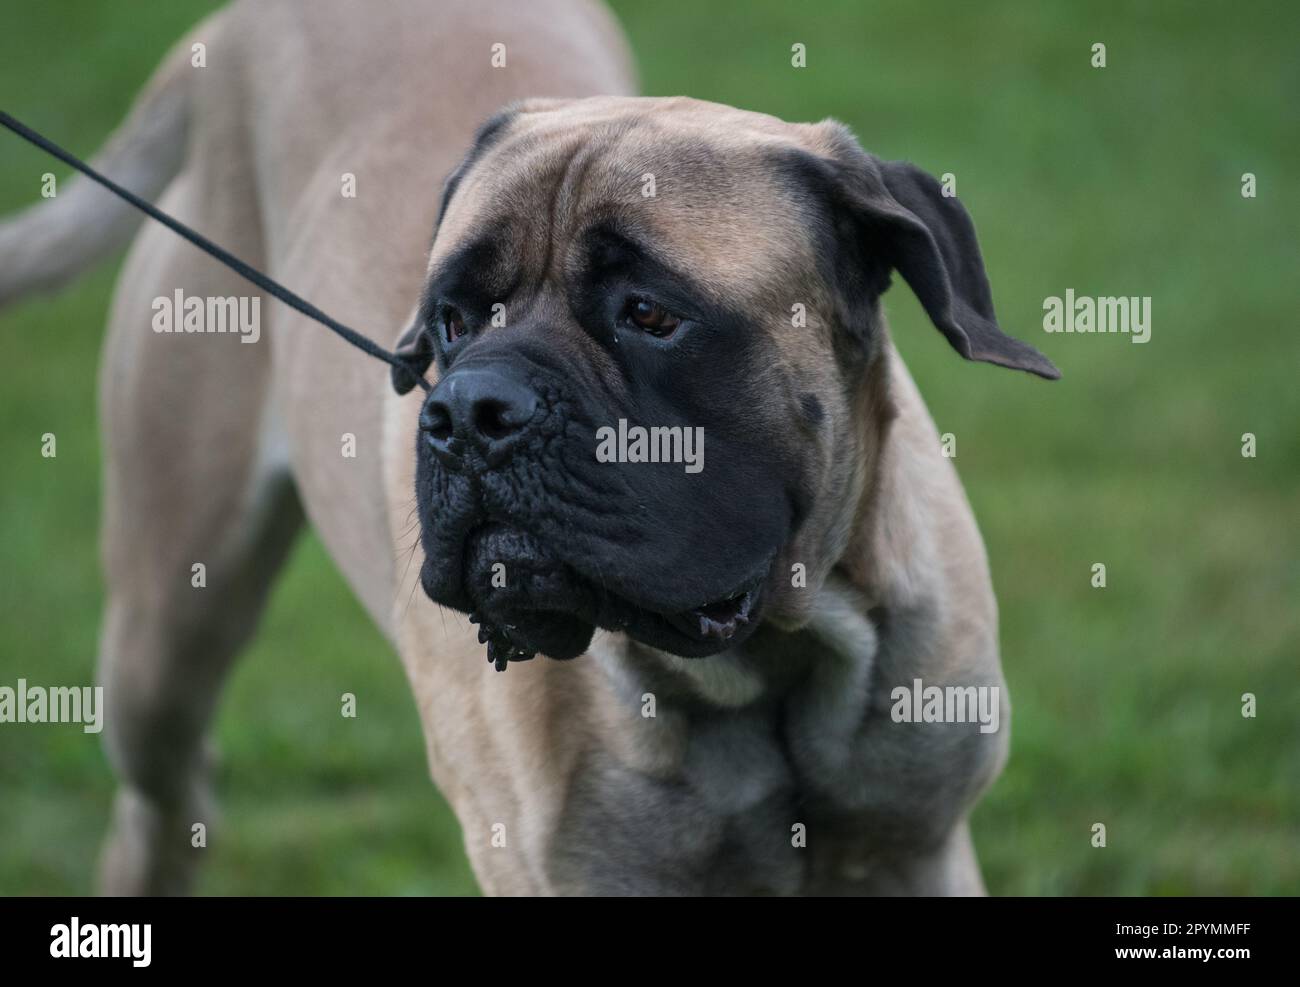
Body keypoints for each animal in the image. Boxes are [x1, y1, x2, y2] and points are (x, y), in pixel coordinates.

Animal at [0, 0, 1055, 894]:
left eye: (650, 314)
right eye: (453, 319)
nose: (470, 411)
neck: (768, 664)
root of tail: (226, 30)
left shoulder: (920, 851)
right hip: (163, 629)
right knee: (162, 802)